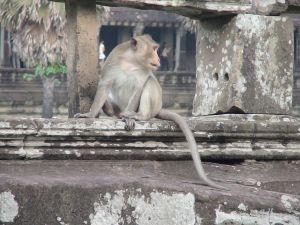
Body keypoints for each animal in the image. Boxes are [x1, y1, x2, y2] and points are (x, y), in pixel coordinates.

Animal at [75, 34, 225, 190]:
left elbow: (140, 87)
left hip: (154, 105)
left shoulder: (144, 72)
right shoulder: (112, 62)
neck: (132, 62)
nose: (158, 59)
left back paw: (138, 115)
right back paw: (109, 109)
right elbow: (104, 85)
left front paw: (130, 117)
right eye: (153, 49)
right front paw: (90, 114)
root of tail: (158, 109)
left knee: (150, 83)